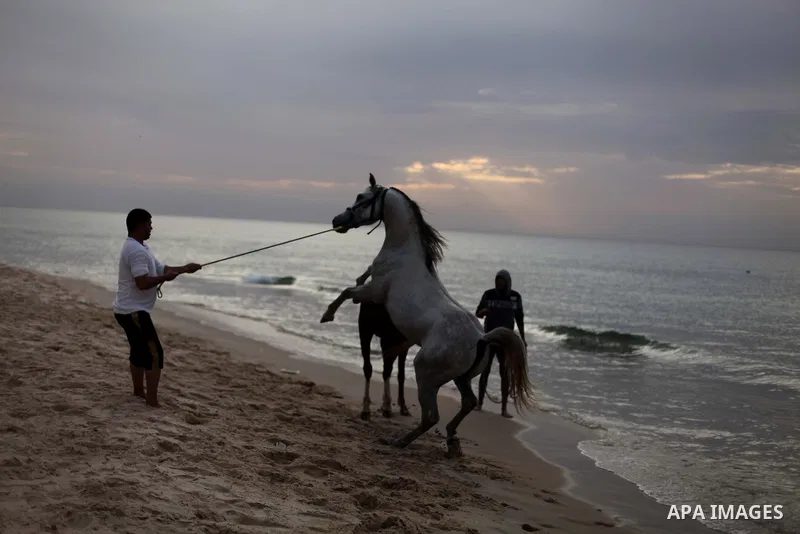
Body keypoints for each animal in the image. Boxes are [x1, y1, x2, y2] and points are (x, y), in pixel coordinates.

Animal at [354, 266, 413, 420]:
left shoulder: (399, 343)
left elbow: (399, 373)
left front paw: (401, 406)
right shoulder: (387, 339)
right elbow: (387, 370)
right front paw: (386, 405)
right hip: (370, 332)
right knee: (373, 368)